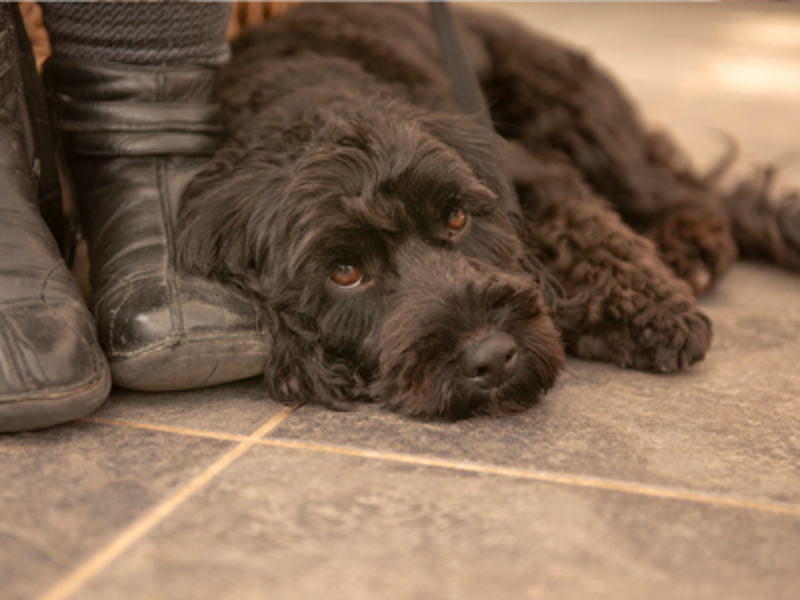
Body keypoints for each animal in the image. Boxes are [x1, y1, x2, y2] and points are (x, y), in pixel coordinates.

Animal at [177, 2, 800, 420]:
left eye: (457, 218)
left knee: (687, 191)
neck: (312, 101)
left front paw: (655, 313)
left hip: (577, 113)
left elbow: (591, 231)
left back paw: (691, 246)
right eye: (345, 272)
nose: (494, 357)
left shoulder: (530, 170)